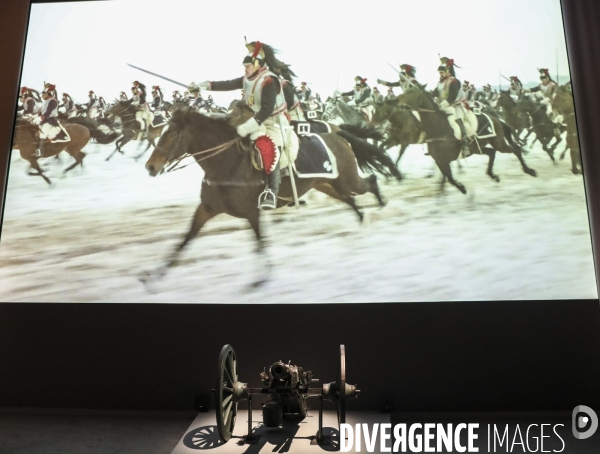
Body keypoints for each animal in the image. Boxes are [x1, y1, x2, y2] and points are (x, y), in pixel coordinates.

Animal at [143, 106, 390, 288]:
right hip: (324, 184)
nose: (150, 167)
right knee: (349, 199)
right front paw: (155, 275)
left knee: (369, 182)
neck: (227, 164)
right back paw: (362, 221)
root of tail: (336, 134)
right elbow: (185, 240)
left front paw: (262, 278)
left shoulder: (252, 213)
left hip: (346, 180)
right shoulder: (206, 209)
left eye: (172, 133)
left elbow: (260, 243)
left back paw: (380, 207)